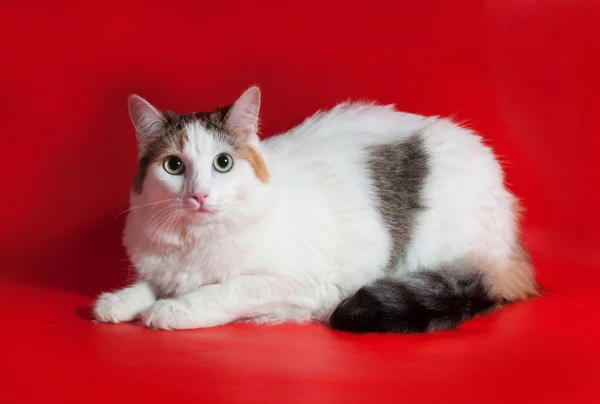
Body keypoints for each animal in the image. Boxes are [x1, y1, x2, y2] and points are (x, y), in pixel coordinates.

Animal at [95, 85, 540, 332]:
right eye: (174, 166)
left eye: (223, 163)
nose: (199, 195)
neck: (195, 239)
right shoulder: (164, 266)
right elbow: (147, 284)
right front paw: (118, 301)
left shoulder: (303, 284)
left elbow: (222, 292)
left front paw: (173, 310)